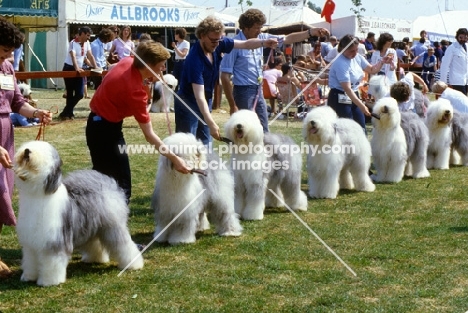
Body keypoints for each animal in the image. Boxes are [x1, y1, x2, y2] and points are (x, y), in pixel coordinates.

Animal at [14, 141, 143, 286]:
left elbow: (51, 263)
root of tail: (106, 183)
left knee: (124, 245)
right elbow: (30, 261)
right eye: (29, 145)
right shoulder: (31, 244)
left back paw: (134, 264)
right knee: (95, 243)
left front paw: (49, 281)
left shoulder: (54, 241)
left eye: (43, 151)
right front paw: (29, 276)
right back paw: (95, 258)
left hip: (112, 226)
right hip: (91, 226)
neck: (38, 195)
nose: (26, 151)